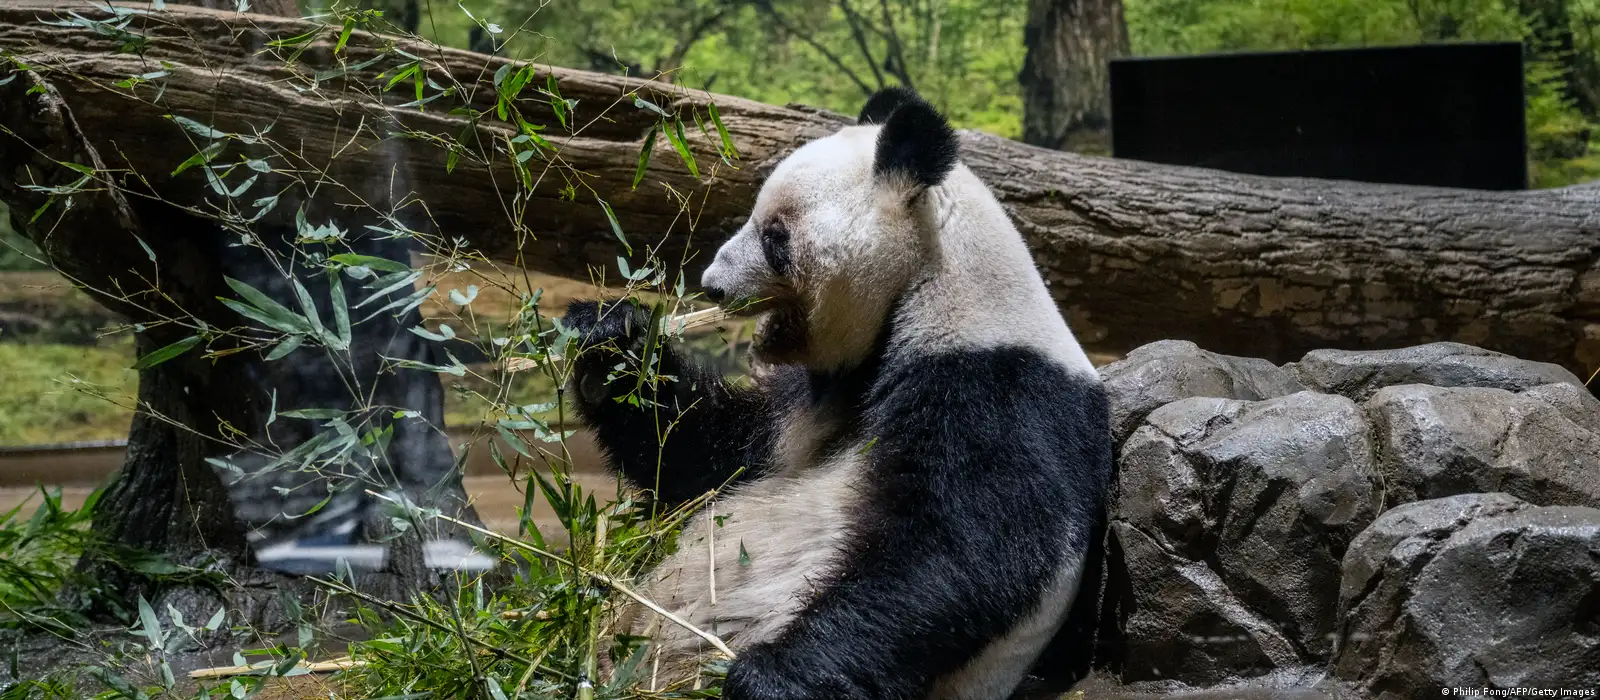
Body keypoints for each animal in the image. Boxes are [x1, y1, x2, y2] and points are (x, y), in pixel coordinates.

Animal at [561, 87, 1112, 700]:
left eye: (774, 236)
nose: (712, 286)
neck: (926, 286)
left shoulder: (997, 387)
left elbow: (965, 551)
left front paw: (769, 678)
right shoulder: (811, 399)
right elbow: (707, 460)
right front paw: (611, 342)